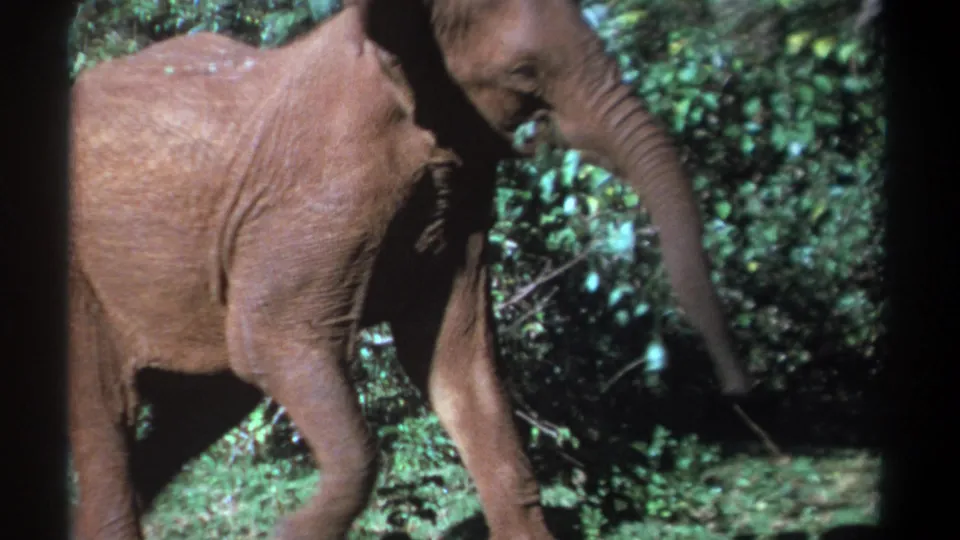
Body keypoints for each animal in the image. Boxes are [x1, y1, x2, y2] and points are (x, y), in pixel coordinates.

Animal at [68, 1, 752, 539]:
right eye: (524, 73)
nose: (738, 391)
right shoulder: (319, 191)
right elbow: (272, 341)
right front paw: (287, 533)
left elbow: (455, 358)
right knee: (108, 417)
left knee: (198, 412)